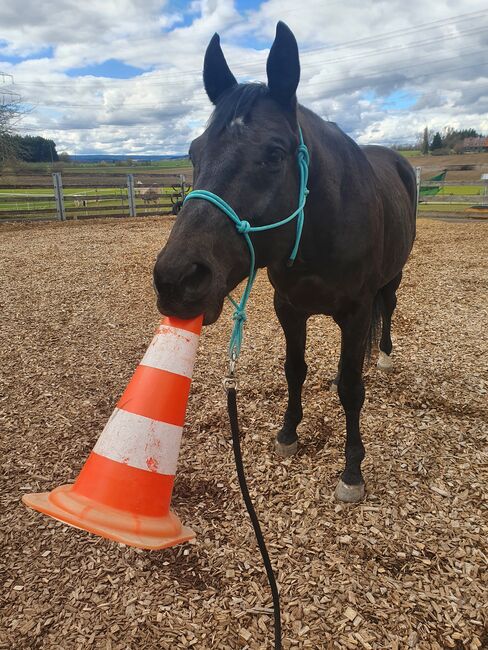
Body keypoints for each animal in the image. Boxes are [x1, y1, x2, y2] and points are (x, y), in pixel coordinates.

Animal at [152, 21, 416, 502]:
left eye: (274, 154)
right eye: (194, 153)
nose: (175, 279)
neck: (320, 230)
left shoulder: (356, 312)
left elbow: (352, 389)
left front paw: (352, 470)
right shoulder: (288, 308)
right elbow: (295, 370)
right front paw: (288, 434)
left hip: (393, 276)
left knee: (387, 309)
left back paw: (384, 356)